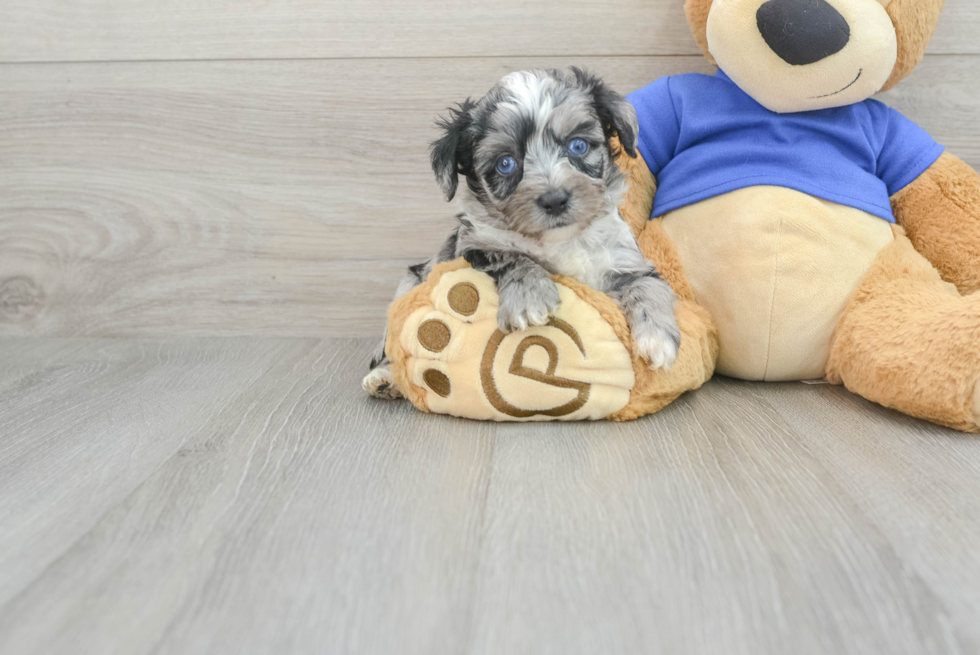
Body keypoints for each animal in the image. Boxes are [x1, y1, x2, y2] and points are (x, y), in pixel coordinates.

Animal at [364, 70, 676, 400]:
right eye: (506, 163)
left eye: (578, 146)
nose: (555, 200)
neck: (560, 240)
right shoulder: (473, 248)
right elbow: (513, 257)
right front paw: (529, 299)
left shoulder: (627, 262)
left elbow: (650, 287)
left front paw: (657, 340)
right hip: (410, 283)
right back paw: (385, 378)